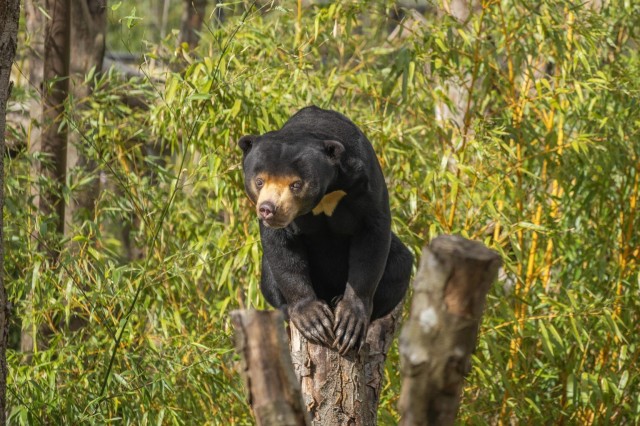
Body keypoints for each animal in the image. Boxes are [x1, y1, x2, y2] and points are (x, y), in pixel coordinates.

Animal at [238, 107, 412, 356]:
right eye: (260, 181)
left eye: (296, 184)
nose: (268, 209)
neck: (328, 192)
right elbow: (282, 250)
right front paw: (313, 319)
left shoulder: (365, 182)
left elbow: (372, 238)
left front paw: (349, 322)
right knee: (268, 274)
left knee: (400, 263)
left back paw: (339, 300)